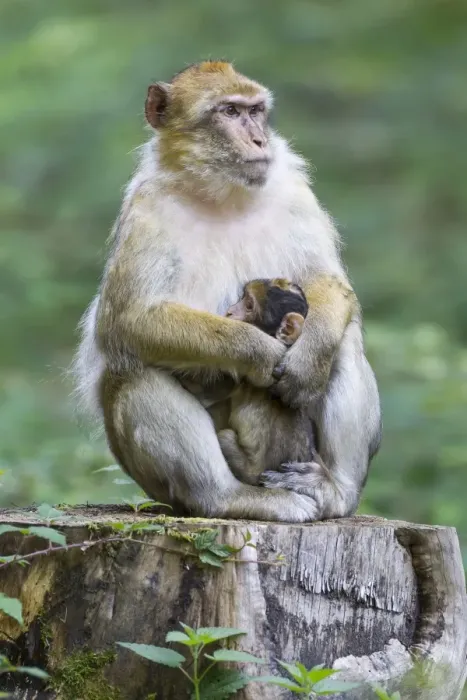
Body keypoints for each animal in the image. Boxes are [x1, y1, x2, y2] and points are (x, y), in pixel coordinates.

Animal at [73, 60, 381, 522]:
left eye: (255, 111)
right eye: (230, 112)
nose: (258, 139)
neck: (223, 196)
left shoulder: (294, 190)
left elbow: (328, 283)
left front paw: (306, 360)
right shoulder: (146, 209)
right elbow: (127, 322)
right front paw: (258, 352)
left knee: (343, 340)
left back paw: (336, 491)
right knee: (132, 367)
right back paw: (224, 496)